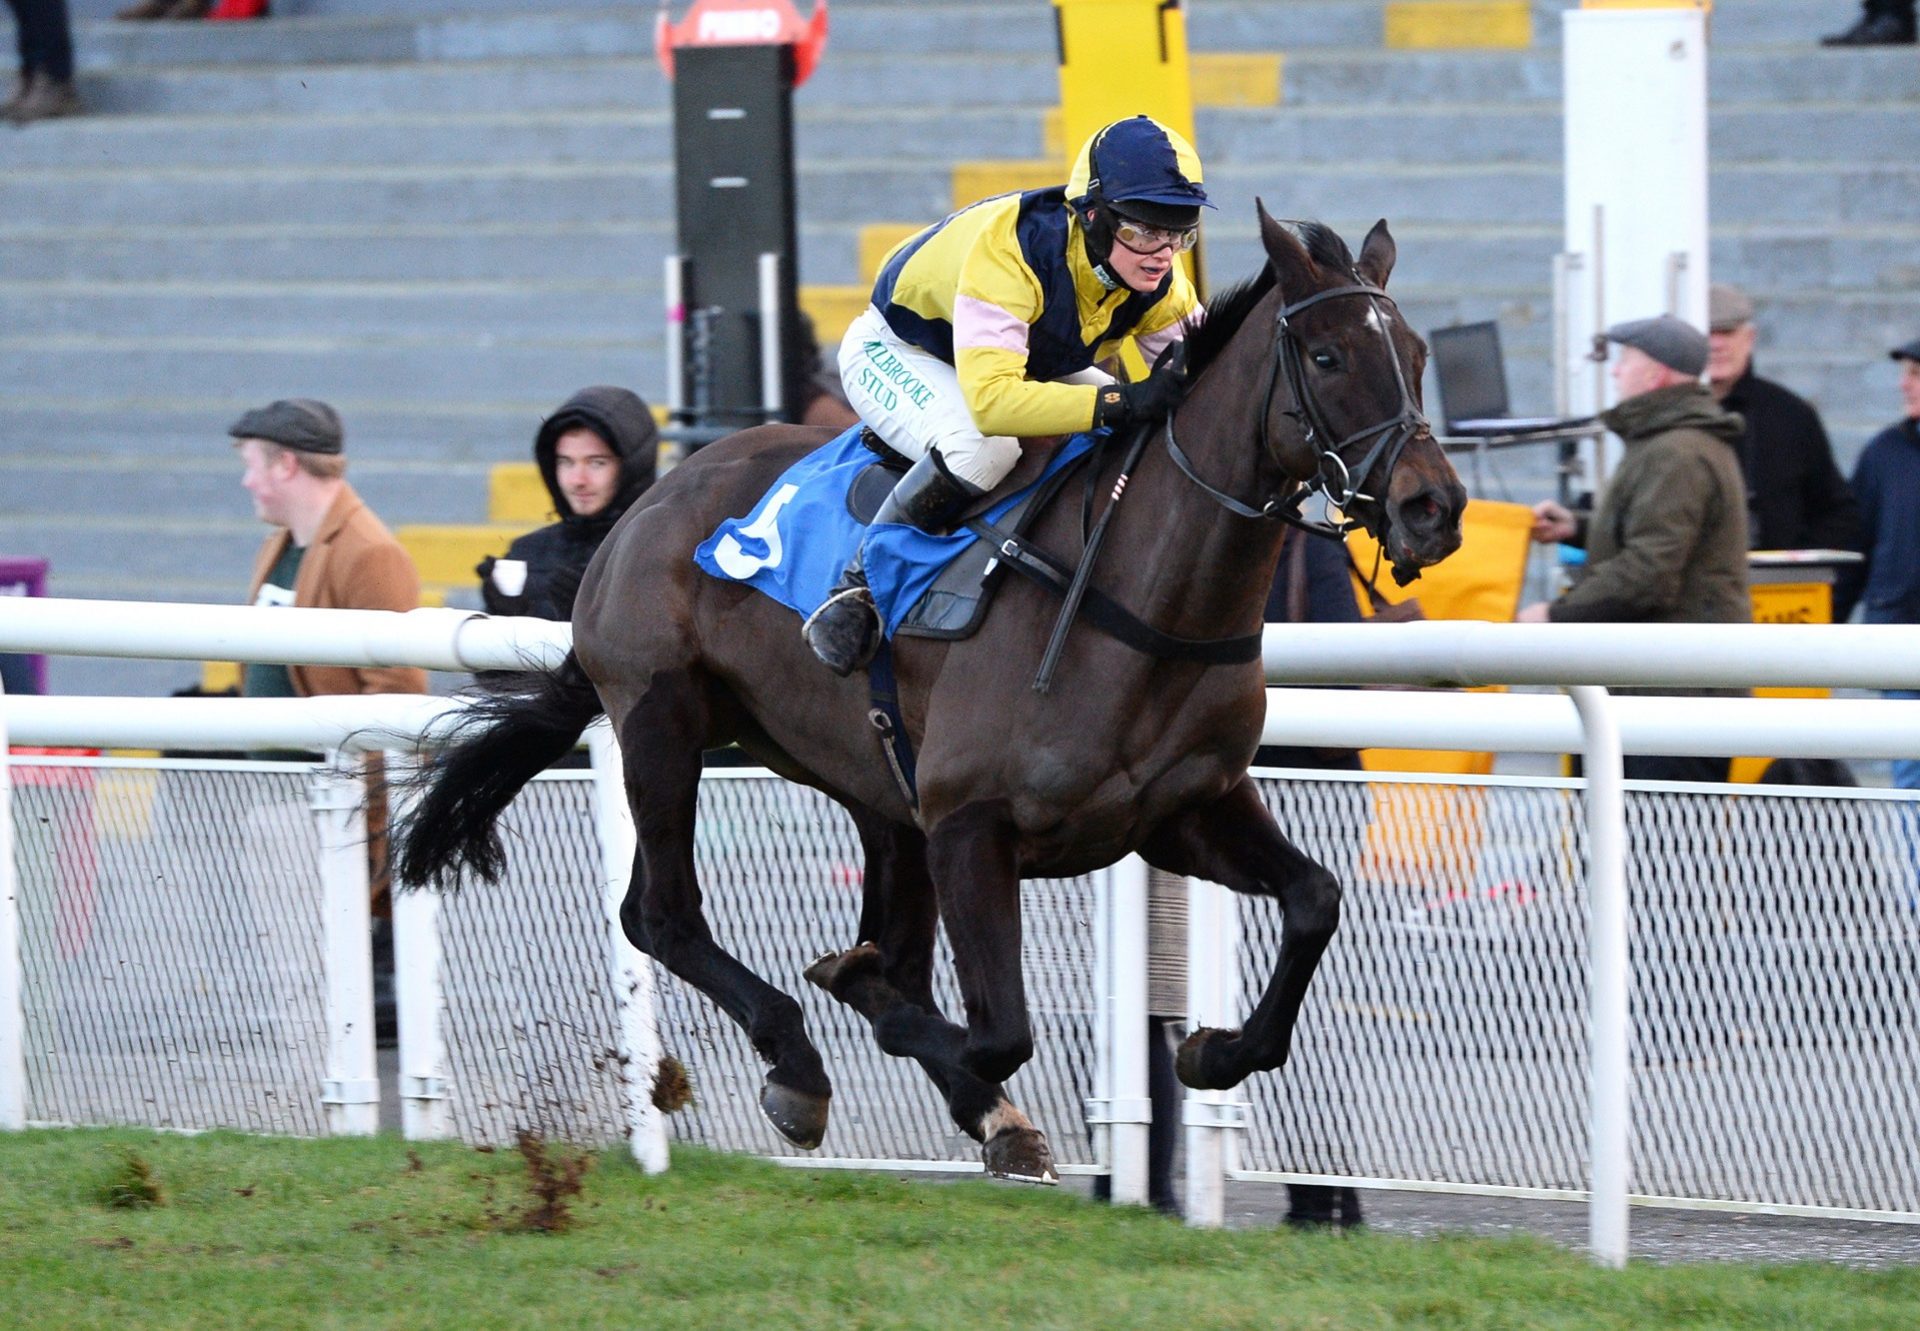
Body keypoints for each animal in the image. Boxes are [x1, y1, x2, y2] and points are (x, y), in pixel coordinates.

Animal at [397, 207, 1459, 1183]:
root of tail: (640, 508)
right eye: (1326, 354)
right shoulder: (969, 824)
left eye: (1414, 353)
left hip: (873, 787)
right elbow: (989, 1029)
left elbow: (1316, 898)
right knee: (658, 913)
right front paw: (869, 1014)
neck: (1138, 597)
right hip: (663, 721)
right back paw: (798, 1063)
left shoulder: (1181, 810)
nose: (1433, 506)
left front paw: (1212, 1049)